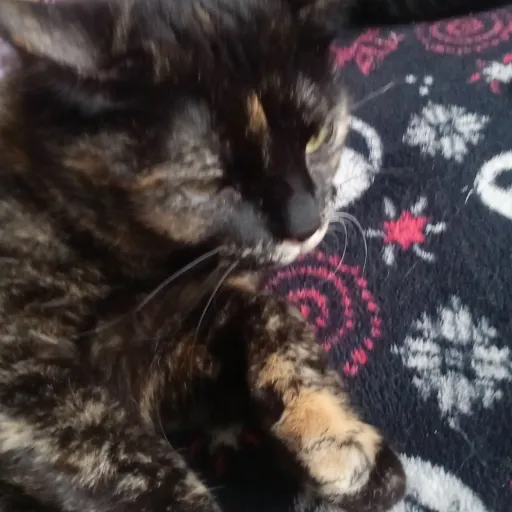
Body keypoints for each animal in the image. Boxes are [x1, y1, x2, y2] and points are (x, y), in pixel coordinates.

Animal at [0, 1, 505, 511]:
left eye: (317, 137)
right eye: (212, 183)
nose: (306, 222)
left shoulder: (181, 332)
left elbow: (276, 317)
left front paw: (344, 447)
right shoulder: (29, 379)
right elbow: (124, 463)